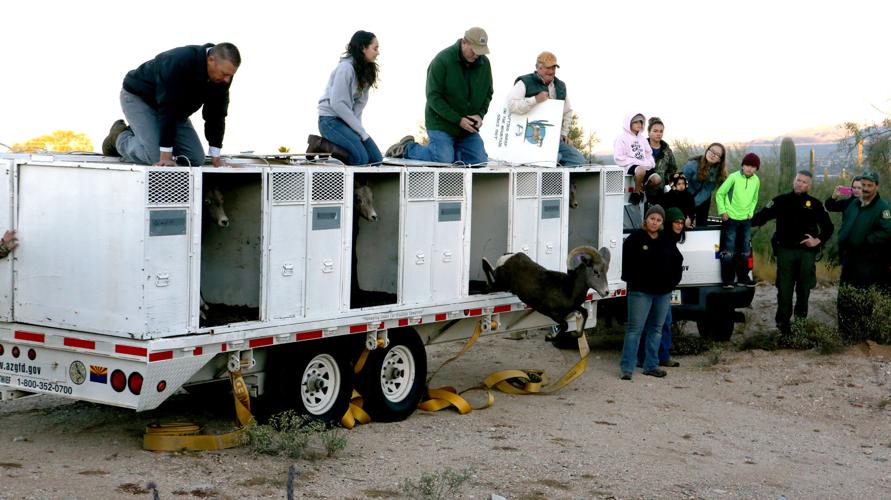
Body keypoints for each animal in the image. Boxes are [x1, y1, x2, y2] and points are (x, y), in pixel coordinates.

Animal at [482, 246, 611, 337]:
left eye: (606, 271)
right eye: (596, 271)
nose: (606, 292)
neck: (569, 289)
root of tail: (507, 258)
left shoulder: (576, 307)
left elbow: (585, 313)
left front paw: (575, 334)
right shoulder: (552, 313)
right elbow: (565, 326)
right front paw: (549, 337)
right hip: (500, 283)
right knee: (490, 279)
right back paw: (484, 260)